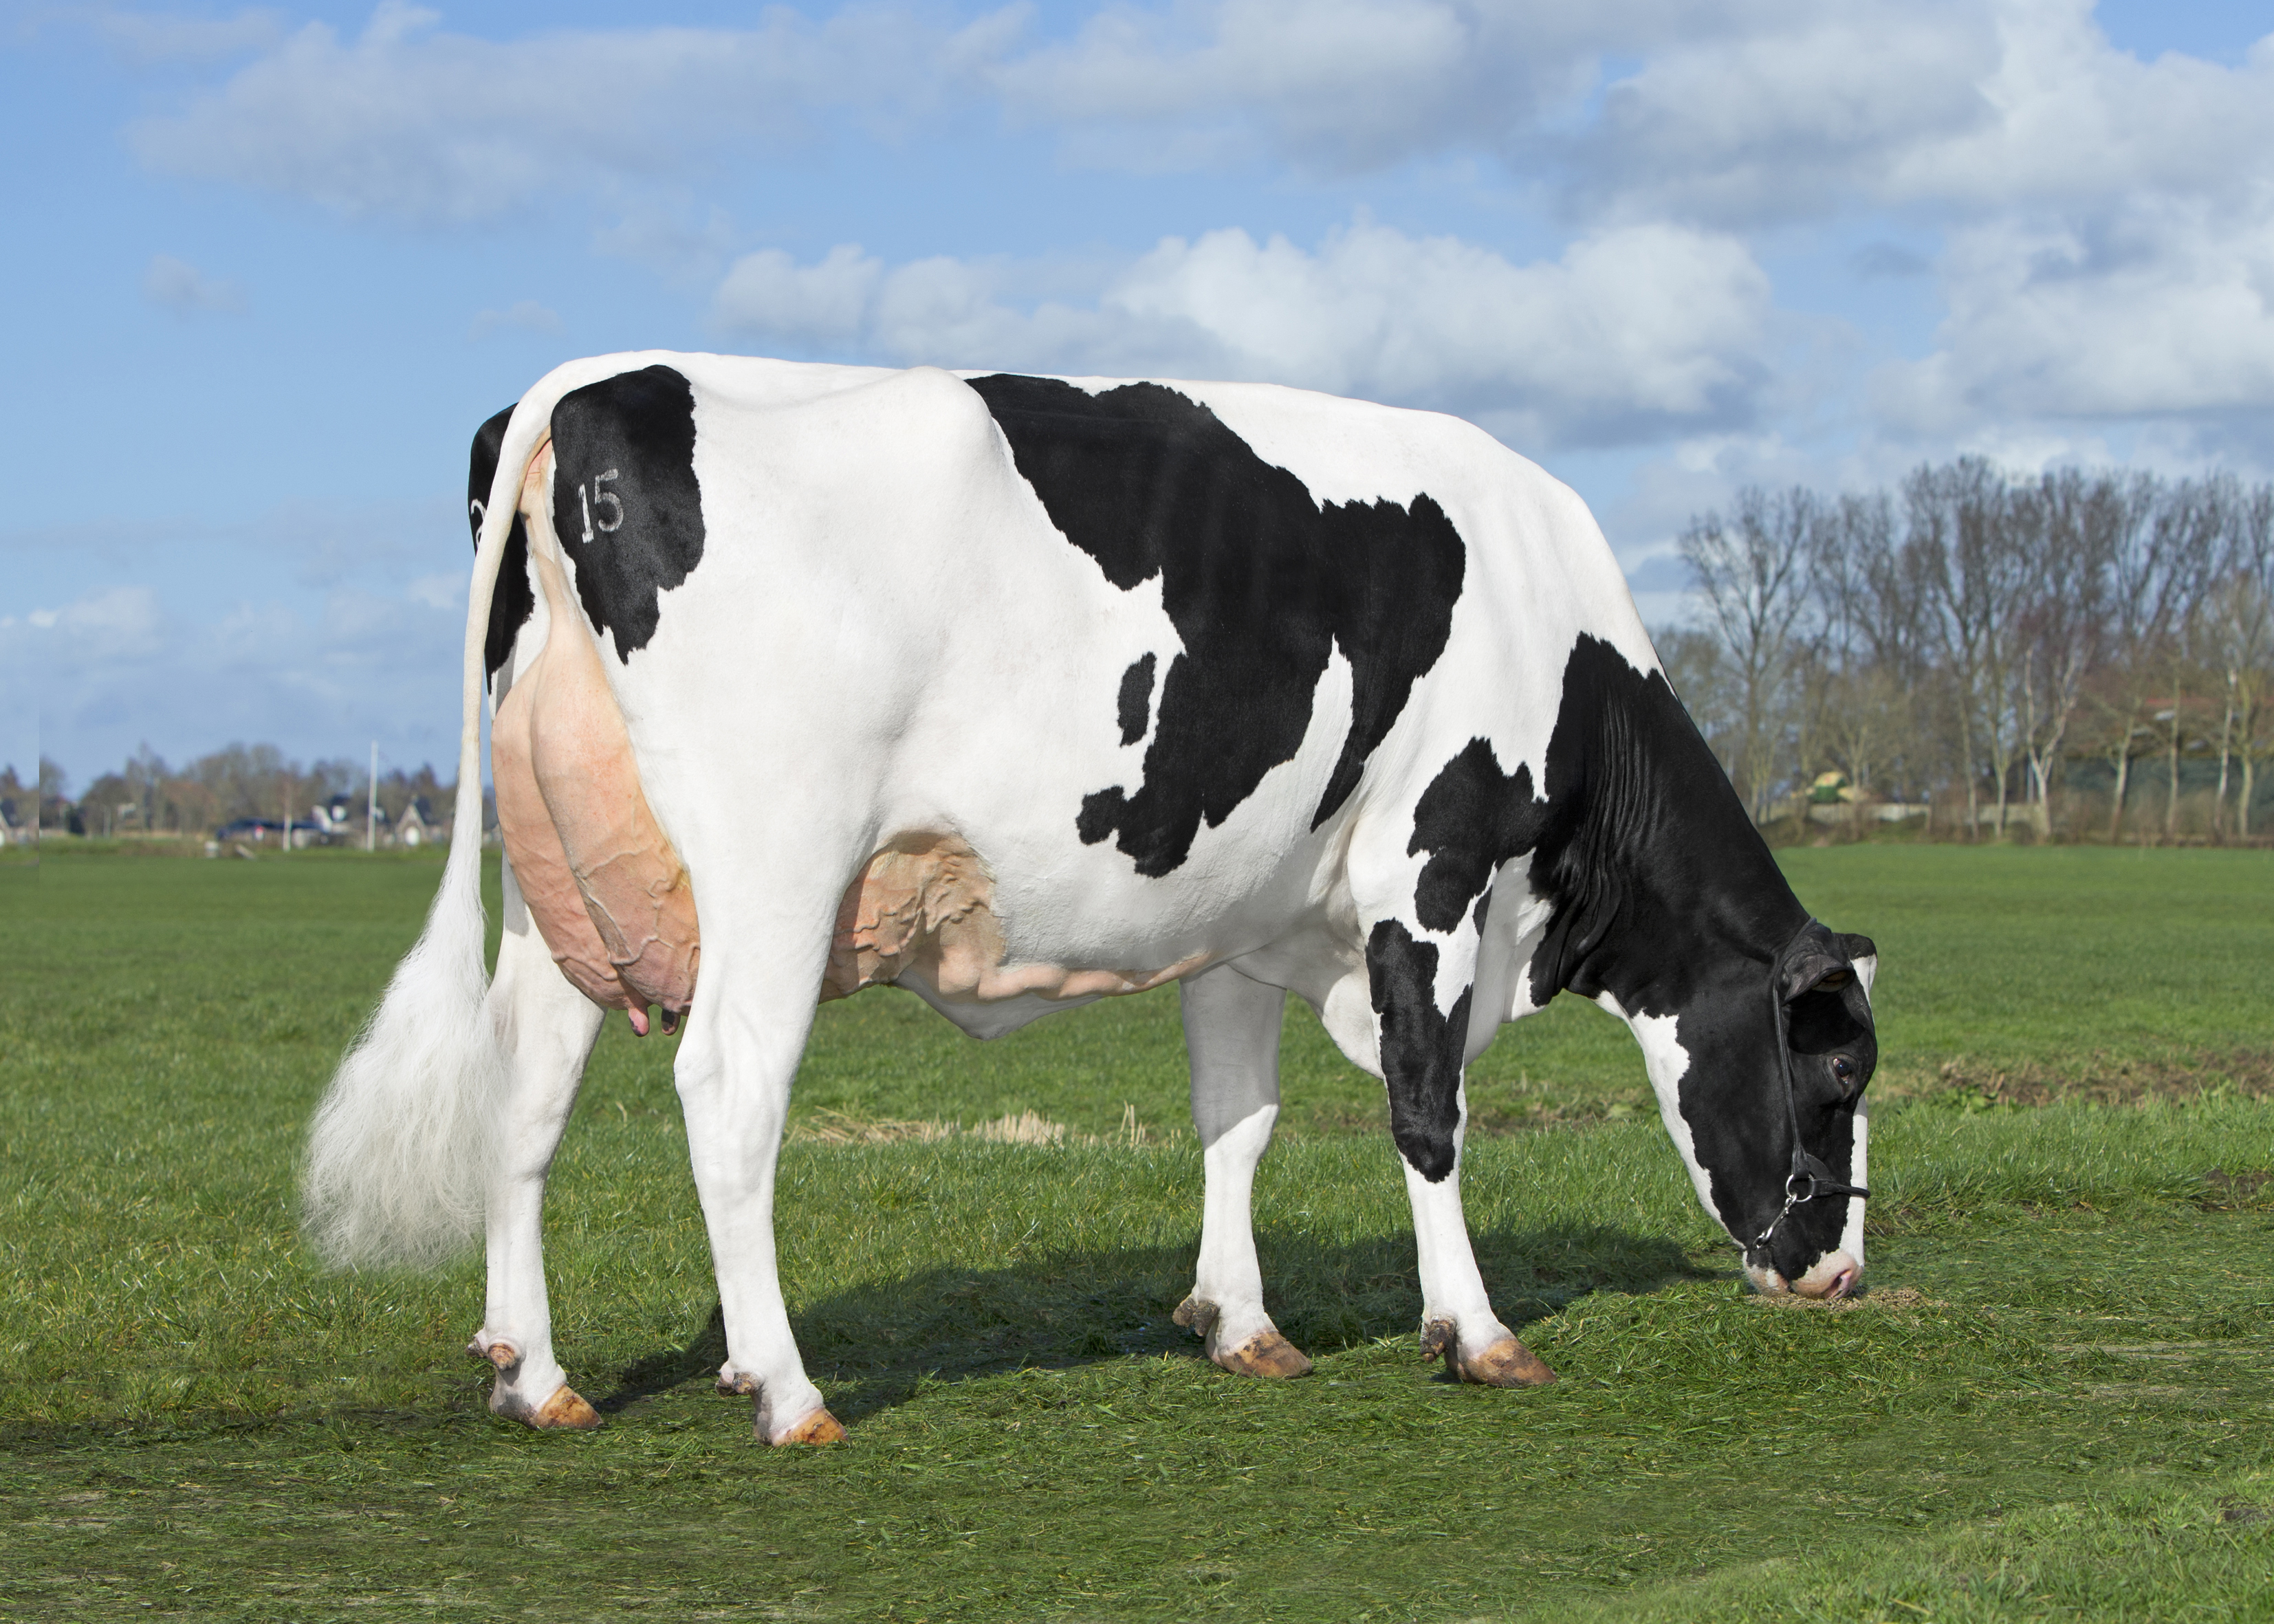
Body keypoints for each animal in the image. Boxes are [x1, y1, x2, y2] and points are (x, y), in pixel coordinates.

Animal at [302, 355, 1873, 1446]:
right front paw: (1476, 1331)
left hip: (567, 889)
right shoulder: (1426, 870)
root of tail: (594, 384)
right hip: (776, 868)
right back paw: (788, 1391)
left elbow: (1236, 1117)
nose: (1840, 1274)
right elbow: (1428, 1111)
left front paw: (1241, 1322)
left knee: (525, 1095)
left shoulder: (1244, 912)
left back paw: (535, 1373)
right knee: (729, 1097)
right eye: (1839, 1071)